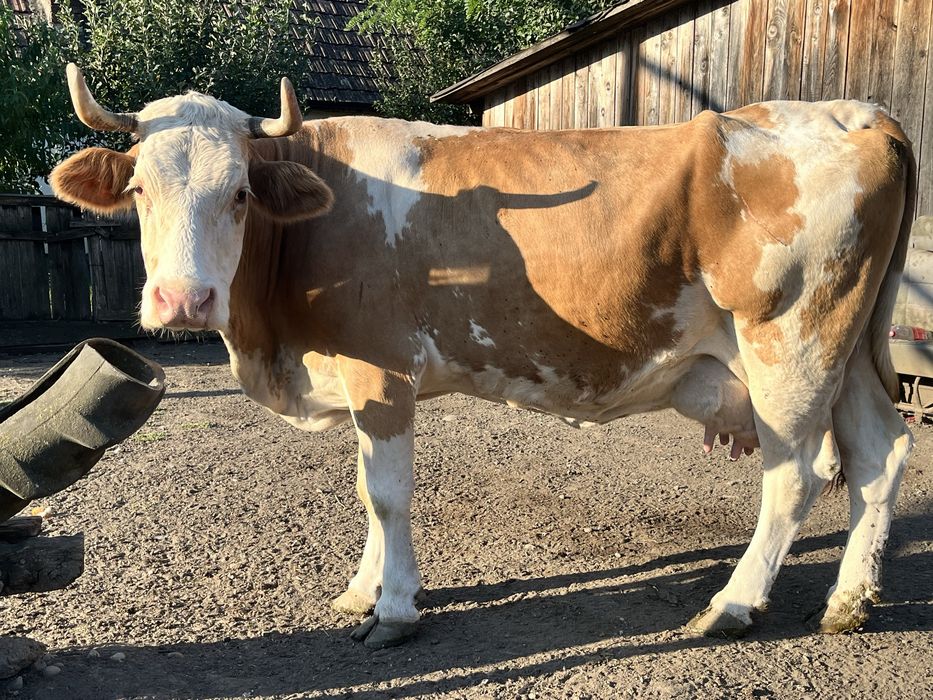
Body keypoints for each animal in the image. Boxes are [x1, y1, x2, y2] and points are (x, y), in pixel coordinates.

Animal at [50, 63, 915, 648]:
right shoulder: (359, 378)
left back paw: (732, 605)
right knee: (879, 451)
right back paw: (848, 602)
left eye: (238, 194)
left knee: (795, 474)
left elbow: (387, 495)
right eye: (137, 190)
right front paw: (362, 590)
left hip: (789, 343)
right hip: (844, 350)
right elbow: (366, 491)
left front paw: (394, 609)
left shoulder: (380, 368)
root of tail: (855, 113)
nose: (183, 300)